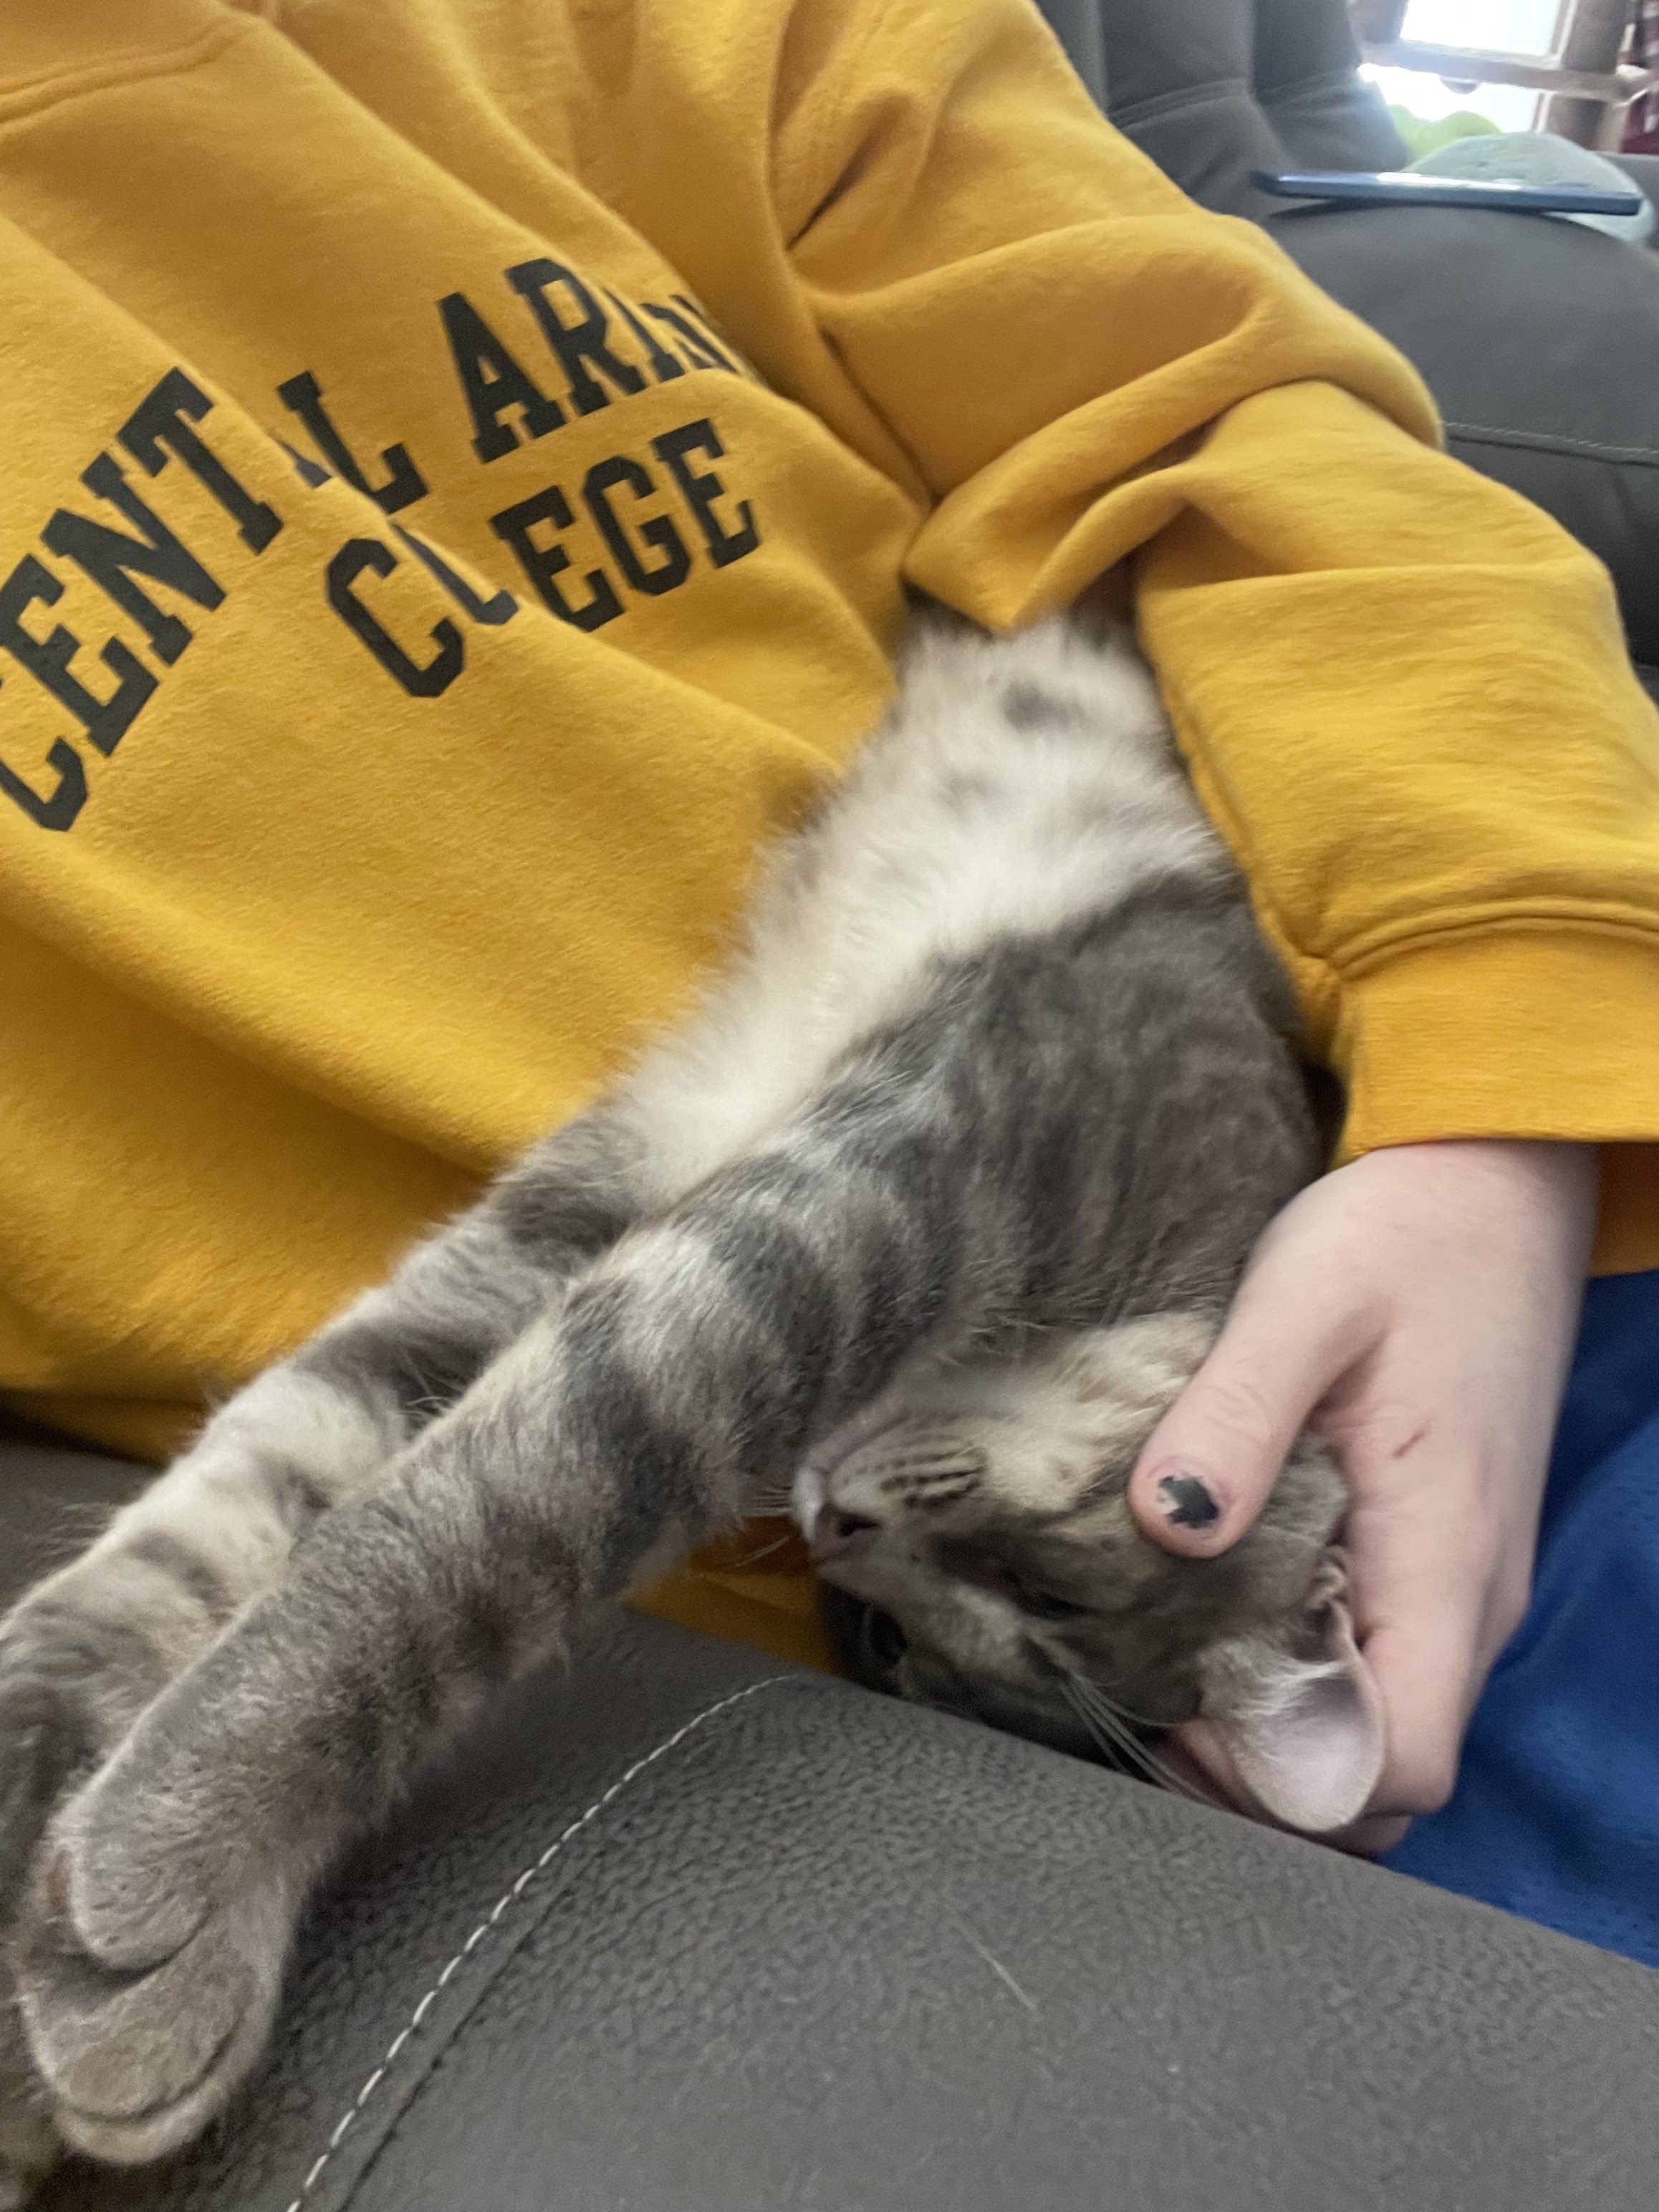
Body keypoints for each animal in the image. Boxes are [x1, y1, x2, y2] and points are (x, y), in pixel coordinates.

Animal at [0, 608, 1381, 2189]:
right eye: (1045, 1584)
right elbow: (479, 1523)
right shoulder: (876, 1196)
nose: (839, 1532)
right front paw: (175, 1838)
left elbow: (296, 1457)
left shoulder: (651, 1165)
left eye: (887, 1648)